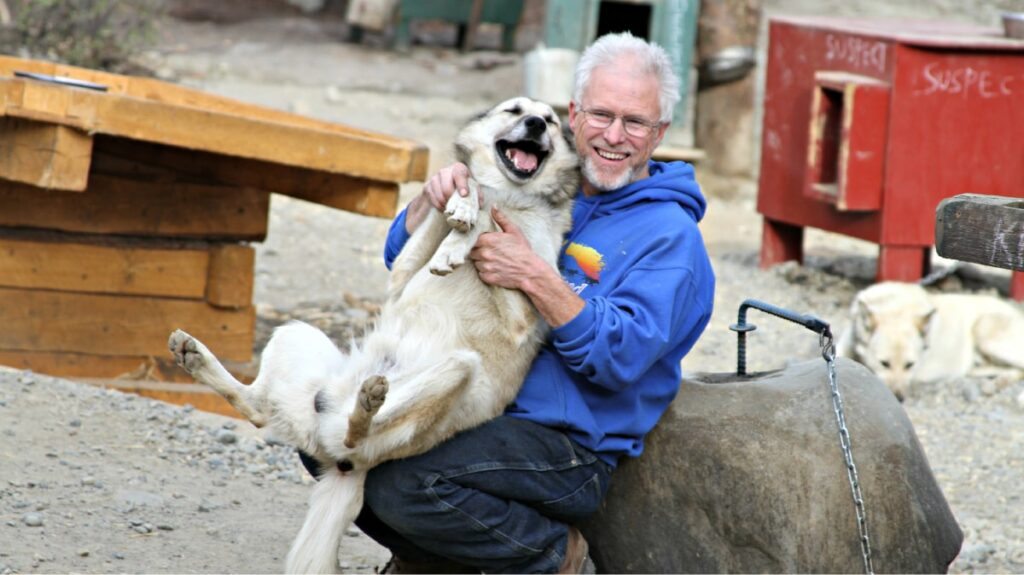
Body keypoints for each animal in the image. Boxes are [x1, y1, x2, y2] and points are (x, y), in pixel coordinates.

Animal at [835, 280, 1024, 399]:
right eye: (884, 363)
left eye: (910, 365)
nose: (899, 398)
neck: (896, 306)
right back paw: (995, 383)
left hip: (985, 330)